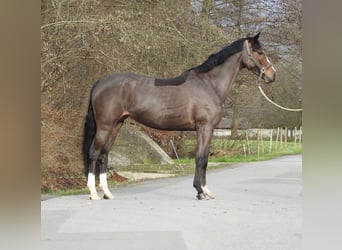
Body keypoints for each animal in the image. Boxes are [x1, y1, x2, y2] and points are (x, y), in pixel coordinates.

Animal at [82, 33, 276, 200]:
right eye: (260, 52)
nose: (272, 75)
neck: (209, 84)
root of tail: (99, 83)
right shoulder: (204, 128)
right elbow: (201, 159)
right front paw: (200, 191)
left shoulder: (207, 130)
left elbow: (204, 159)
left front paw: (205, 190)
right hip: (105, 126)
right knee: (94, 153)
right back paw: (93, 193)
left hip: (116, 125)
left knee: (104, 154)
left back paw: (107, 193)